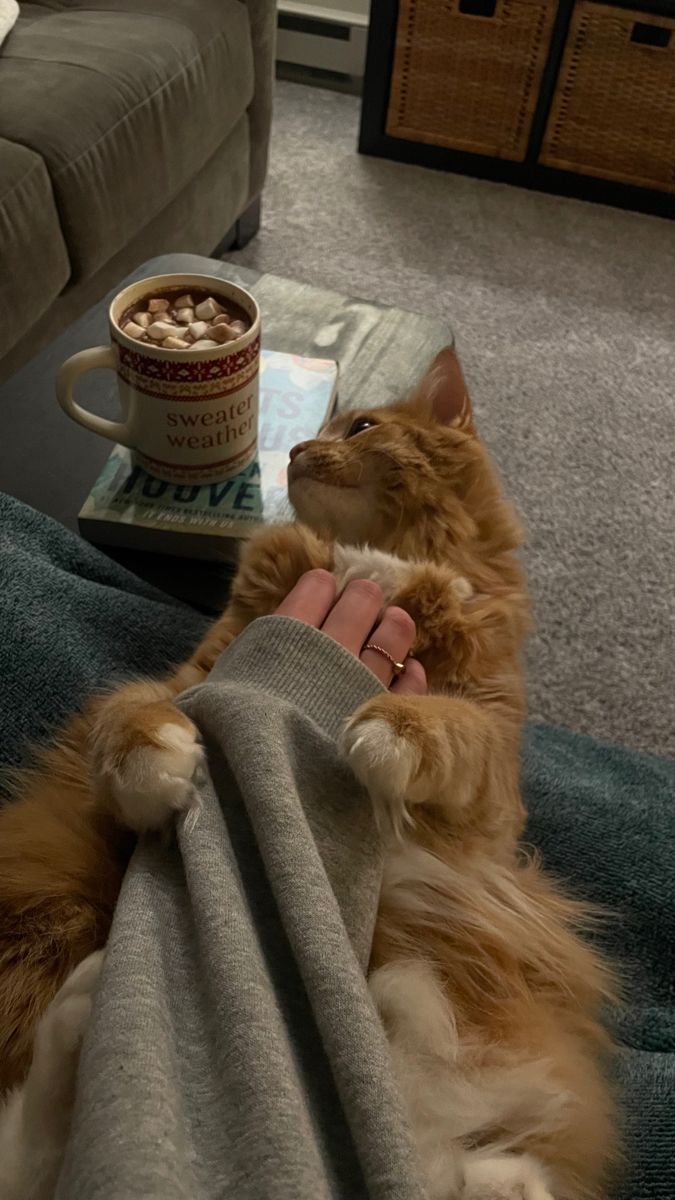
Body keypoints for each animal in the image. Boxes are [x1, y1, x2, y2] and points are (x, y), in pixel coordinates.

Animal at [0, 345, 614, 1190]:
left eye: (358, 428)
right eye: (319, 433)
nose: (291, 451)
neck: (370, 564)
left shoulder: (491, 784)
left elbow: (459, 733)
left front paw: (396, 727)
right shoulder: (190, 672)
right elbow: (129, 714)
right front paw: (154, 758)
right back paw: (81, 1011)